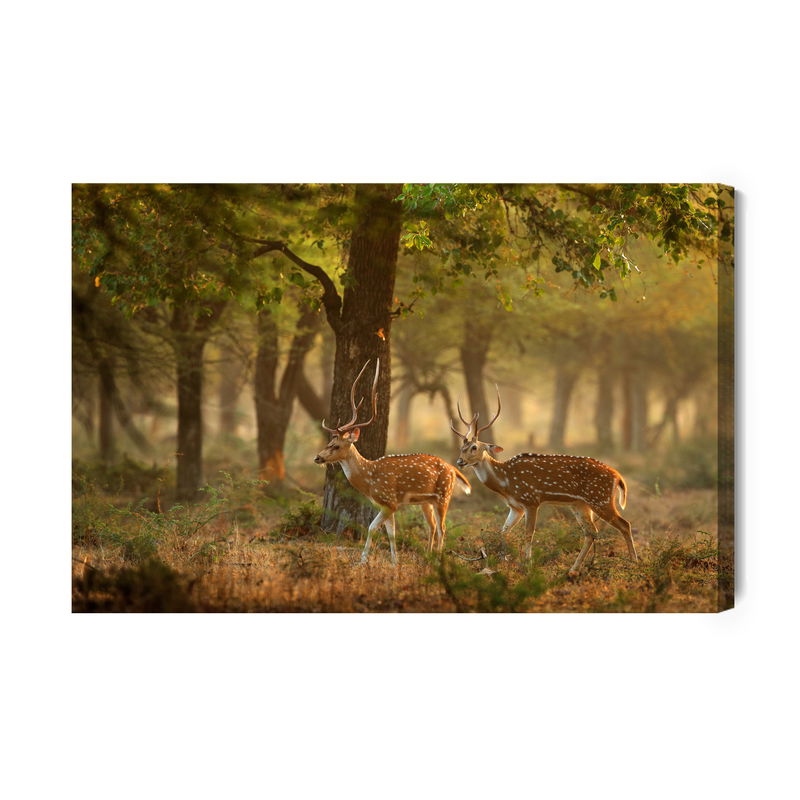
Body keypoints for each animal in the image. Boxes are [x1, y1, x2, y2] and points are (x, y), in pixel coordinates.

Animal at [313, 359, 471, 565]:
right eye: (329, 442)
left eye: (337, 445)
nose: (317, 457)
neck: (369, 480)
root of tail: (453, 468)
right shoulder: (386, 504)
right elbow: (391, 534)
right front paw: (395, 562)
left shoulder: (390, 501)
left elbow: (372, 527)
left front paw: (362, 561)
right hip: (426, 501)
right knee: (433, 526)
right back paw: (429, 556)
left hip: (444, 495)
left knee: (442, 527)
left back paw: (438, 559)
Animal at [450, 389, 637, 576]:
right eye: (461, 448)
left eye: (474, 447)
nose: (460, 461)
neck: (506, 482)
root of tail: (618, 476)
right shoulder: (516, 506)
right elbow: (503, 531)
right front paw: (503, 562)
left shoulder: (531, 500)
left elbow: (529, 533)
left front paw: (527, 565)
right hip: (580, 504)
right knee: (591, 532)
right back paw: (573, 569)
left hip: (600, 499)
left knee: (624, 524)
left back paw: (633, 564)